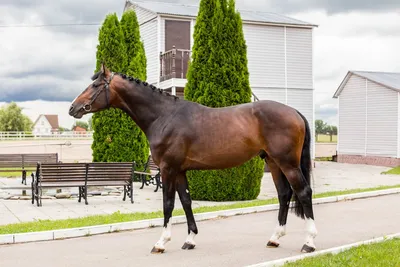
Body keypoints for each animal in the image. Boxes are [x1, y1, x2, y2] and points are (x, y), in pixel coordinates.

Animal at [69, 64, 318, 255]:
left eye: (95, 85)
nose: (73, 108)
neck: (163, 116)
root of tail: (294, 112)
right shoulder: (180, 170)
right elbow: (186, 201)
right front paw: (189, 240)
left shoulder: (168, 169)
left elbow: (168, 204)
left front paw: (161, 243)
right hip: (273, 162)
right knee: (284, 194)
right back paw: (275, 238)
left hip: (288, 163)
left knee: (303, 192)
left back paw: (309, 243)